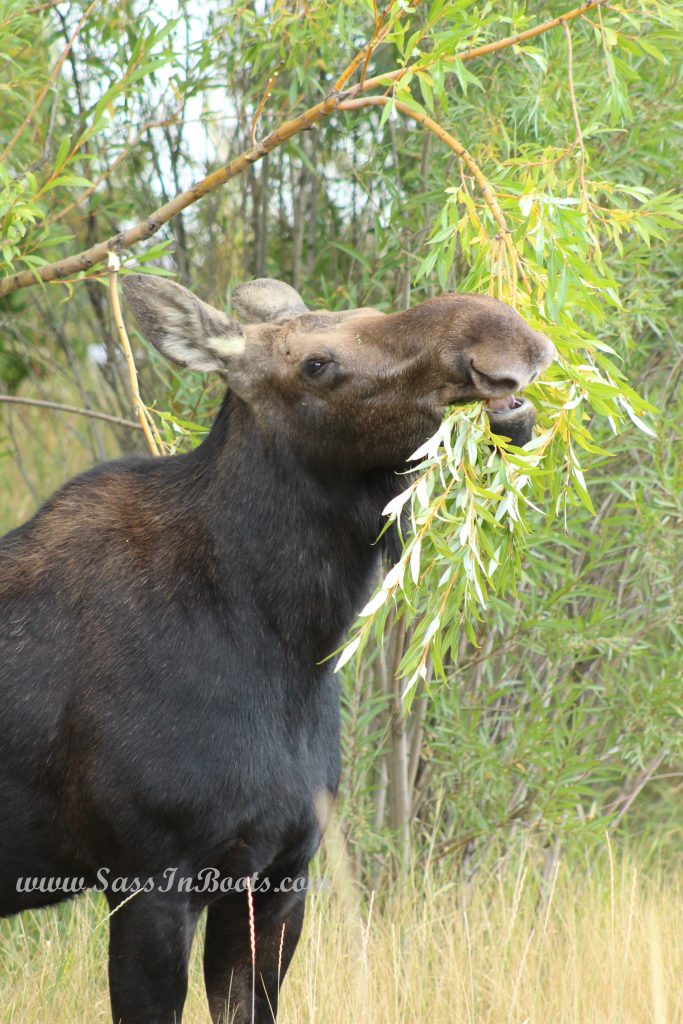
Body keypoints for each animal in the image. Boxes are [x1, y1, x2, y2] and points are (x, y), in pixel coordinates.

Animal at [0, 274, 557, 1024]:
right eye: (315, 365)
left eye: (369, 312)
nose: (503, 338)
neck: (290, 640)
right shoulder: (150, 881)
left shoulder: (279, 875)